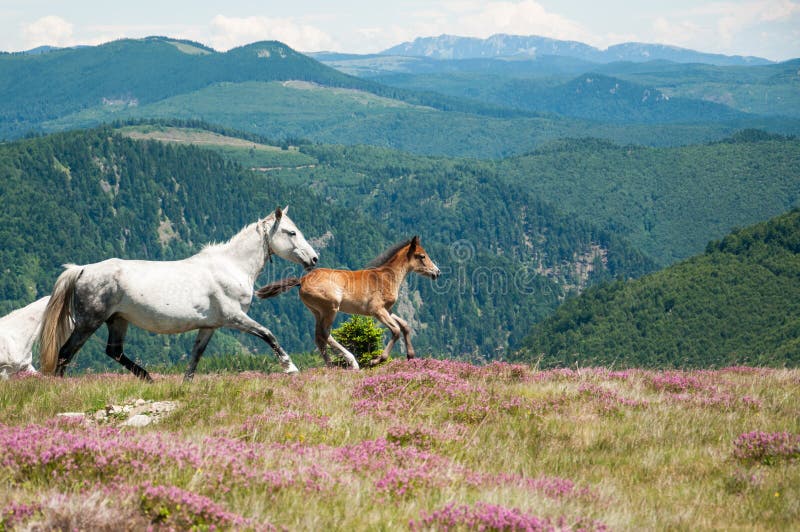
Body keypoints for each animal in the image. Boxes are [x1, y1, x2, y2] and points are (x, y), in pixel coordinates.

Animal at [37, 206, 318, 380]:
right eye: (291, 232)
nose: (314, 259)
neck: (231, 266)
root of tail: (82, 270)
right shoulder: (234, 318)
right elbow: (268, 335)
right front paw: (291, 368)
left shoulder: (209, 326)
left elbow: (195, 357)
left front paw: (185, 385)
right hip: (89, 321)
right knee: (65, 353)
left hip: (117, 320)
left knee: (113, 351)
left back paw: (148, 378)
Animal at [256, 237, 440, 370]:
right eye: (422, 256)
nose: (437, 272)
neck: (386, 277)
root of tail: (302, 280)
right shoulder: (377, 310)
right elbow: (395, 331)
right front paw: (376, 360)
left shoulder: (388, 309)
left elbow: (405, 326)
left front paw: (411, 356)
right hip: (330, 308)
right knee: (325, 334)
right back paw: (352, 362)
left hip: (317, 311)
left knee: (319, 337)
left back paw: (331, 366)